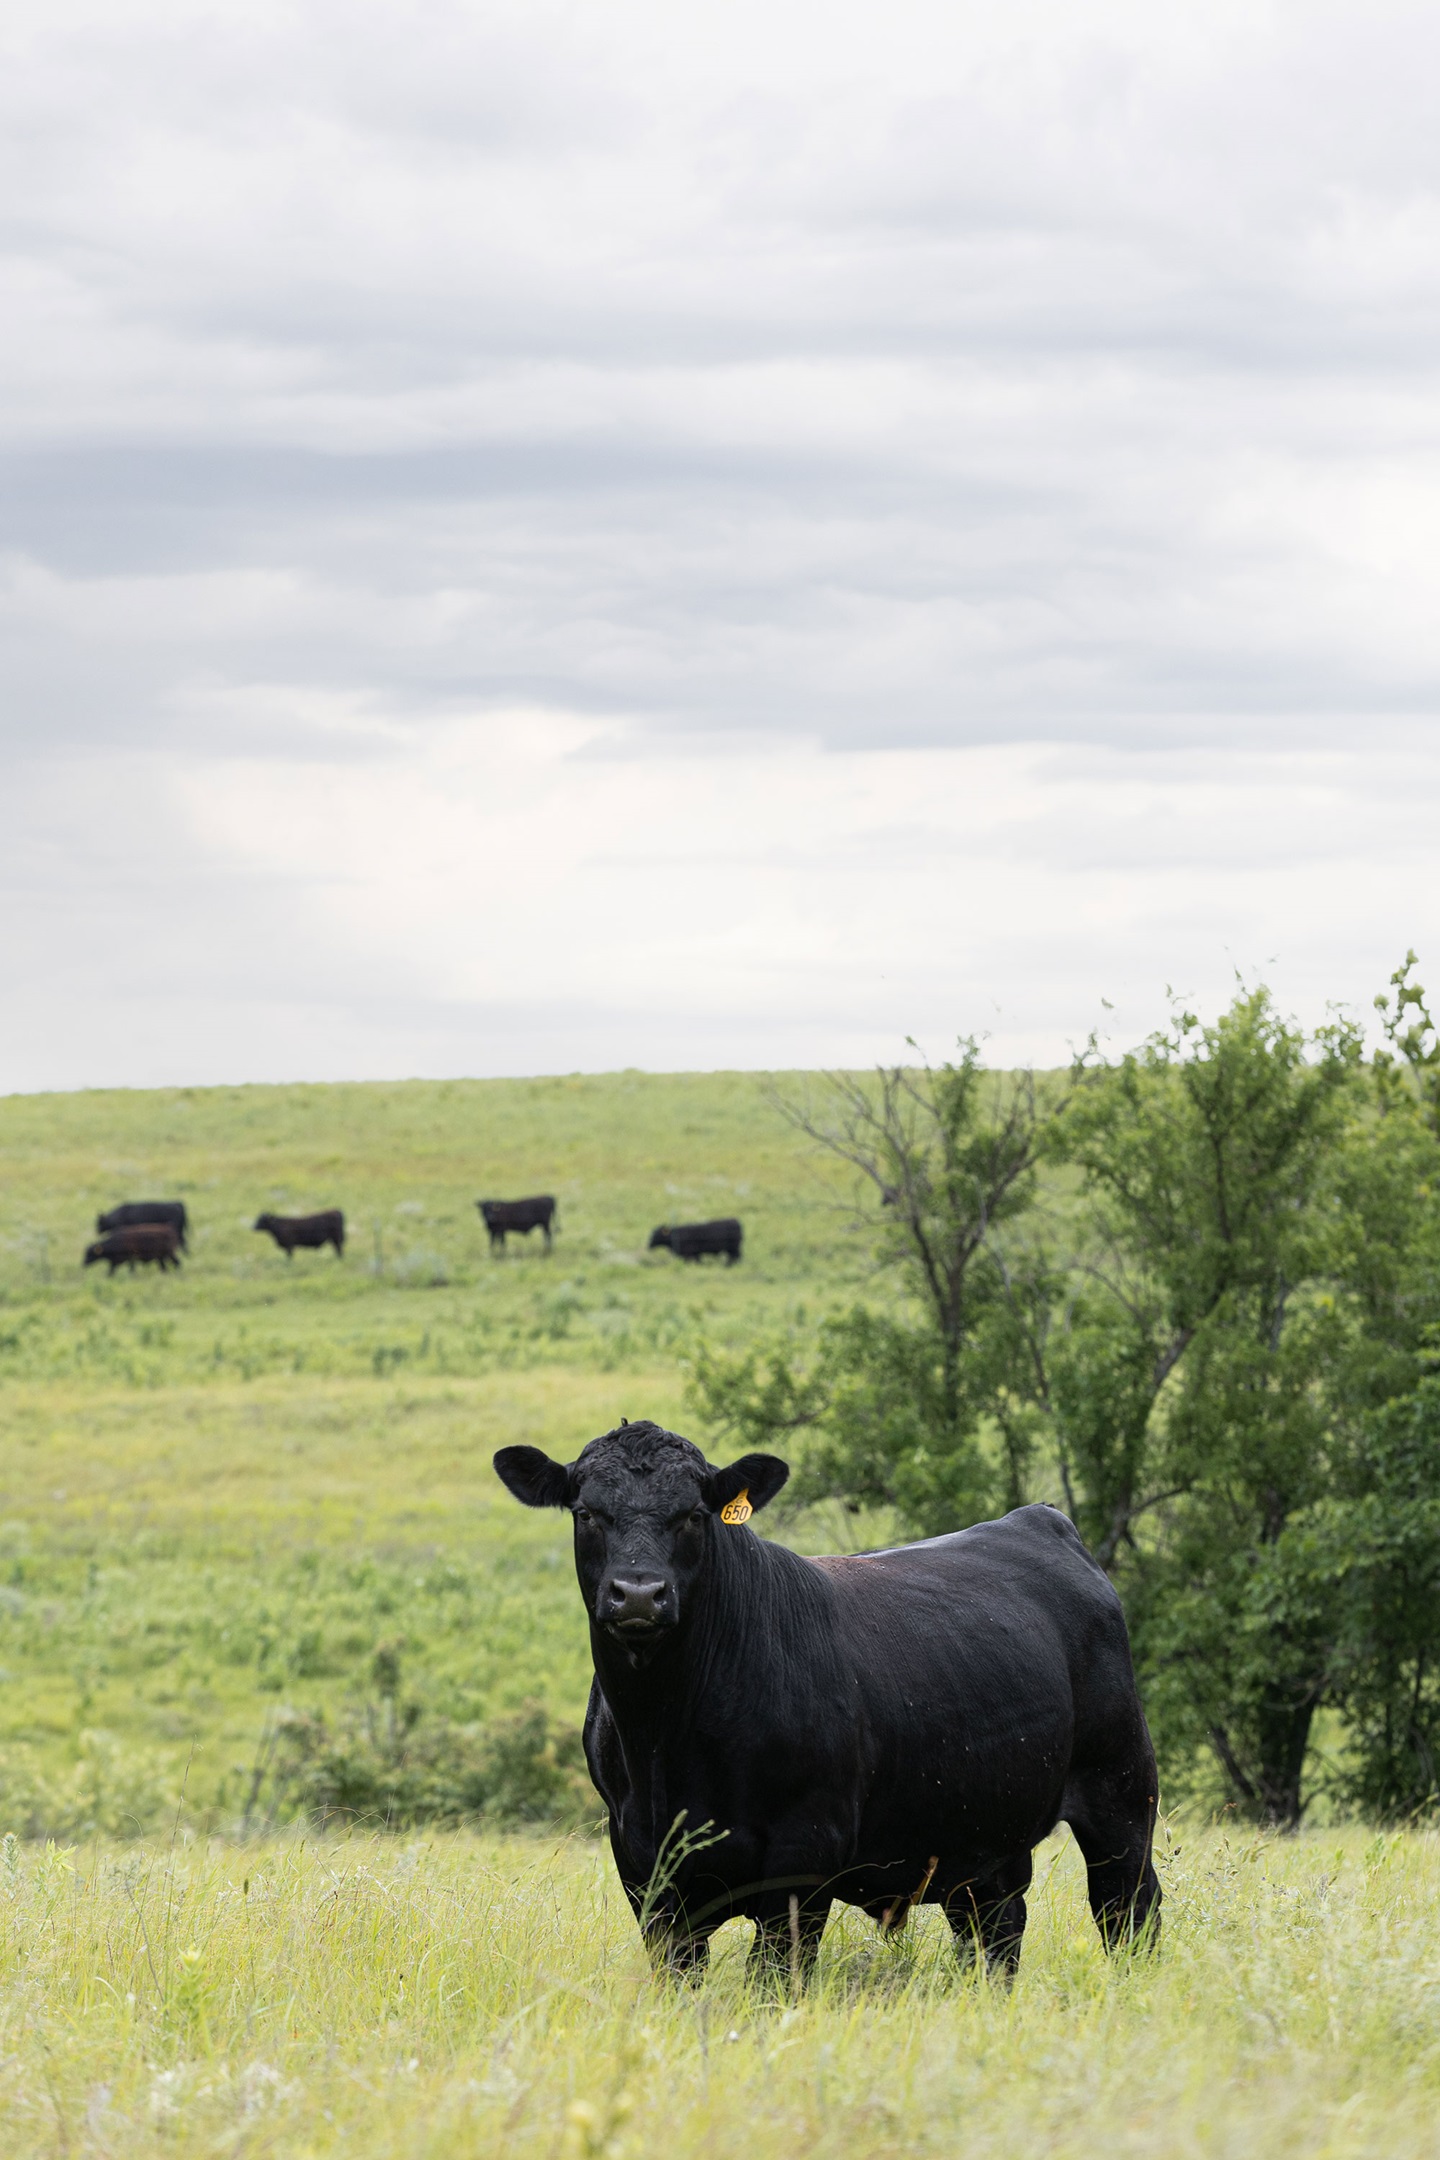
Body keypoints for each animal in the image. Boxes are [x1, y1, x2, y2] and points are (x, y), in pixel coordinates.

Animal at [494, 1419, 1160, 1986]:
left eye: (693, 1515)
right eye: (586, 1513)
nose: (638, 1594)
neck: (665, 1740)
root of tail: (1038, 1519)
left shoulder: (804, 1856)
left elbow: (774, 1981)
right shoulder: (642, 1866)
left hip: (1120, 1792)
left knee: (1128, 1910)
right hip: (983, 1839)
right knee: (996, 1932)